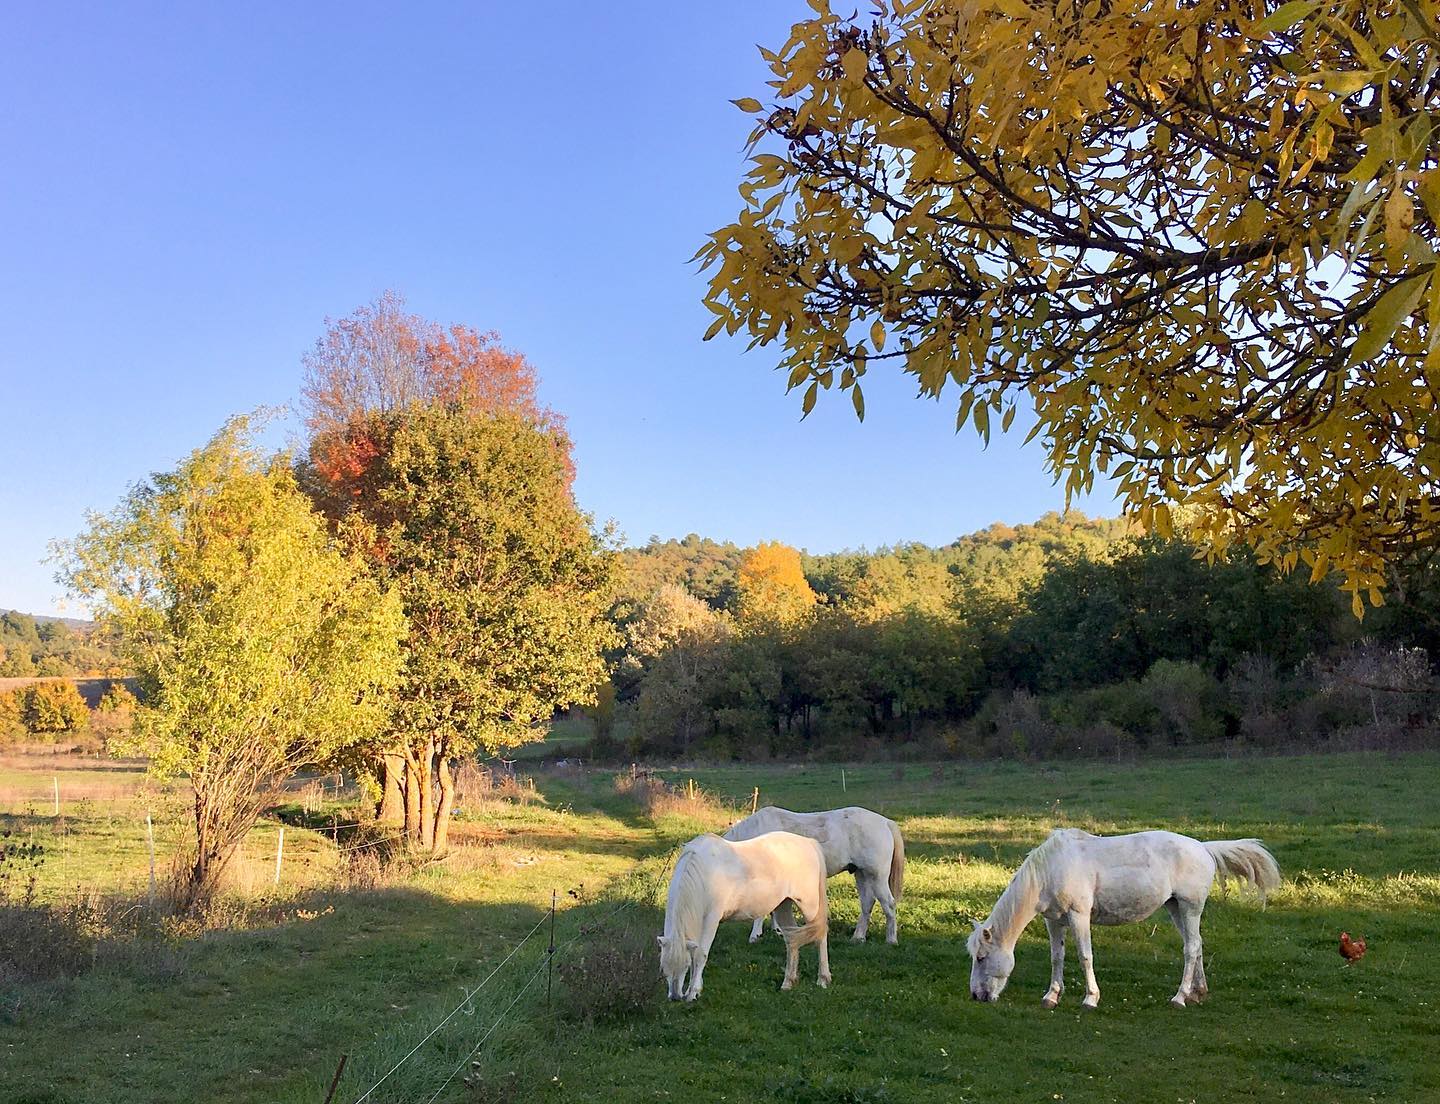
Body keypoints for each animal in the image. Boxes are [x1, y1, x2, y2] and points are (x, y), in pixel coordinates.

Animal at [658, 831, 831, 1001]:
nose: (675, 997)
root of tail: (809, 843)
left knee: (820, 937)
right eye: (663, 968)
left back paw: (823, 979)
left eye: (685, 966)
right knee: (792, 940)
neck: (703, 871)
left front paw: (693, 993)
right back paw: (787, 983)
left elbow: (701, 955)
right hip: (783, 905)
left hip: (809, 905)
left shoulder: (711, 919)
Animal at [724, 805, 906, 944]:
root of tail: (885, 822)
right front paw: (778, 931)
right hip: (862, 874)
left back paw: (891, 940)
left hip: (876, 876)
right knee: (867, 903)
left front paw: (755, 936)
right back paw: (858, 938)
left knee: (889, 903)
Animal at [967, 828, 1280, 1009]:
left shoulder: (1079, 916)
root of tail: (1204, 848)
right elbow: (1057, 957)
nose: (976, 996)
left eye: (981, 958)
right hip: (1175, 908)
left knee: (1191, 948)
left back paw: (1180, 998)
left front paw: (1090, 998)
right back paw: (1197, 992)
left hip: (1190, 908)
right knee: (1198, 944)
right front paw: (1051, 996)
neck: (1052, 868)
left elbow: (1085, 957)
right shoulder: (1054, 921)